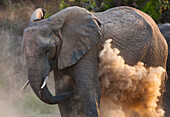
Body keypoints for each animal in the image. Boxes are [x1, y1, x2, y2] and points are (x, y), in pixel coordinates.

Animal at [22, 6, 167, 117]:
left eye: (47, 50)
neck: (54, 23)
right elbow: (62, 91)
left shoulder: (89, 51)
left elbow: (89, 91)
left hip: (156, 53)